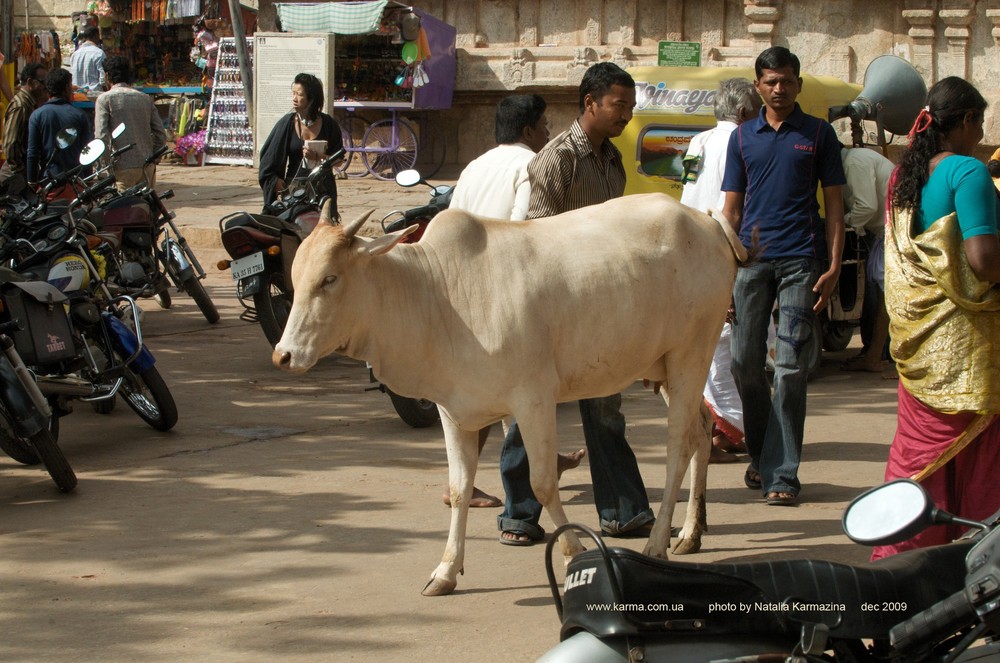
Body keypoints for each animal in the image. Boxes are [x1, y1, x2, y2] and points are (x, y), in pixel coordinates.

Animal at [274, 192, 752, 596]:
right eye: (297, 278)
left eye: (330, 279)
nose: (284, 354)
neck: (435, 297)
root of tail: (705, 220)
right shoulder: (453, 412)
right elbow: (460, 489)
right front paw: (445, 571)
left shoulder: (534, 399)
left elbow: (542, 483)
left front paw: (573, 551)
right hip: (667, 369)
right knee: (700, 431)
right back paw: (690, 533)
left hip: (691, 353)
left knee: (677, 448)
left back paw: (656, 543)